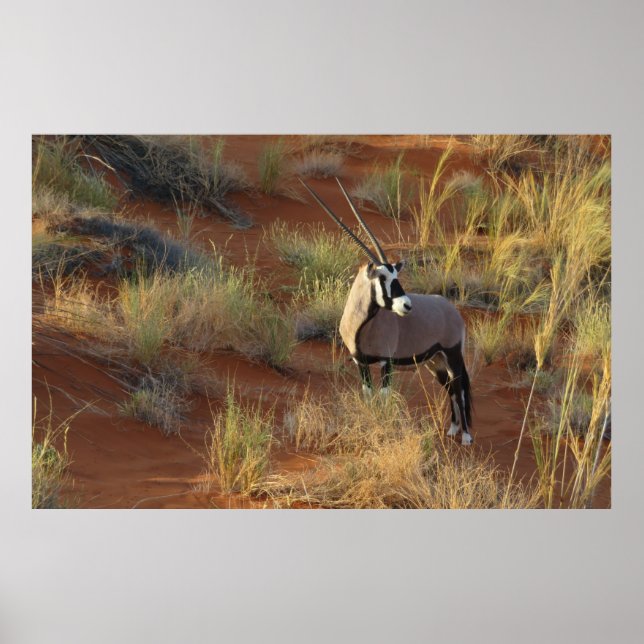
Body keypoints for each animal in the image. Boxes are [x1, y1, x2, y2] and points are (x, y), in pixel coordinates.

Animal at [299, 178, 474, 445]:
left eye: (396, 276)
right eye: (382, 278)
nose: (407, 305)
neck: (361, 326)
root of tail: (452, 311)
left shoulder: (386, 362)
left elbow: (383, 397)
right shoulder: (360, 362)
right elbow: (368, 395)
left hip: (452, 354)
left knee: (459, 388)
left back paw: (465, 436)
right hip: (435, 361)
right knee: (450, 389)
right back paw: (453, 429)